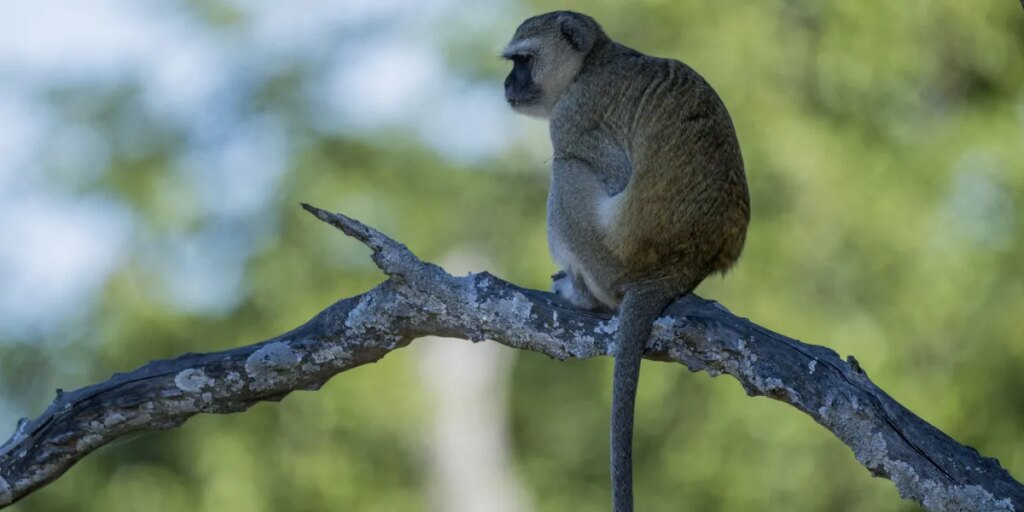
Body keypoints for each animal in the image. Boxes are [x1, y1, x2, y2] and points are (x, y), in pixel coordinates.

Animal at [503, 11, 750, 512]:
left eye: (524, 60)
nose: (506, 84)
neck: (593, 61)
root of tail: (679, 265)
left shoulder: (575, 115)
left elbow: (608, 171)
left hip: (610, 255)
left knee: (568, 167)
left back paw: (584, 294)